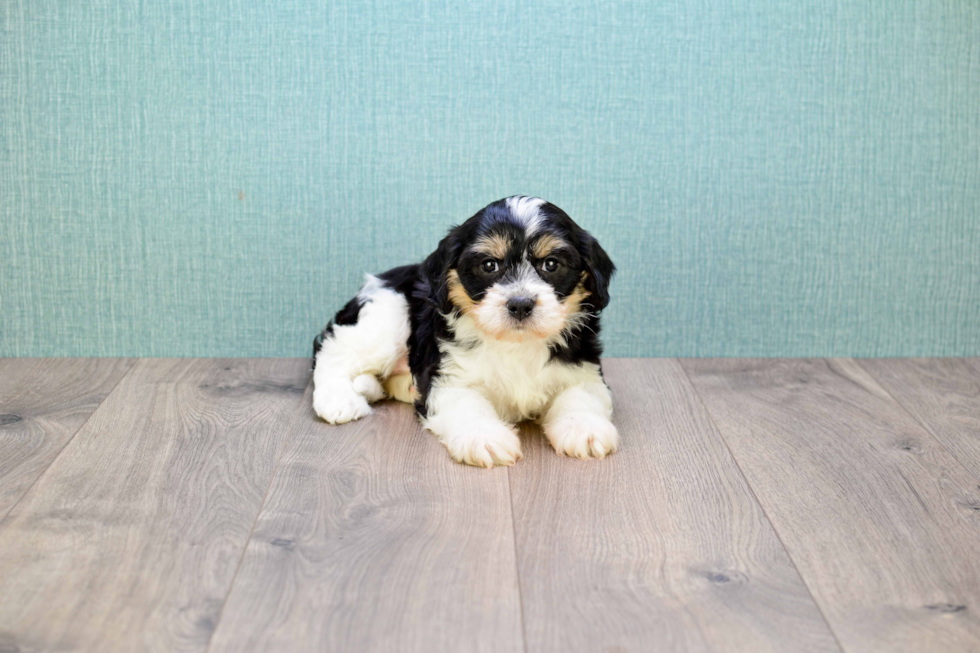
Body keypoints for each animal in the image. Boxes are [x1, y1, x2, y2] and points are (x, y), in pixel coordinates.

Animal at [310, 196, 616, 466]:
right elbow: (467, 404)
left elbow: (581, 394)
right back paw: (339, 400)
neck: (516, 342)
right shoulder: (450, 377)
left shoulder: (582, 368)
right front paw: (485, 438)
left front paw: (584, 429)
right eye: (489, 265)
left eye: (551, 264)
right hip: (387, 316)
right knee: (334, 353)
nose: (520, 304)